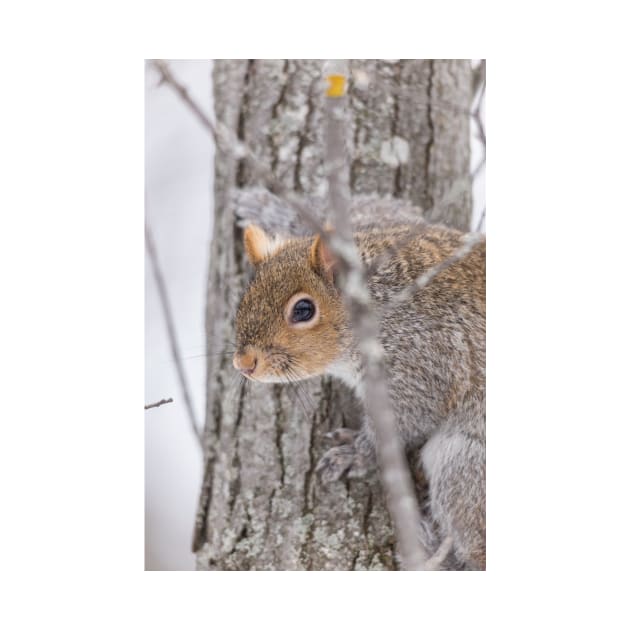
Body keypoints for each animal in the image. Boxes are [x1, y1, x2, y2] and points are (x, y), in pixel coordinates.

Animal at [233, 188, 488, 572]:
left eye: (303, 310)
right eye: (244, 300)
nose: (243, 363)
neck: (379, 299)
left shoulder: (424, 364)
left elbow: (406, 420)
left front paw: (354, 453)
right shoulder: (388, 224)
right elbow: (377, 208)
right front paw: (265, 206)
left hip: (464, 463)